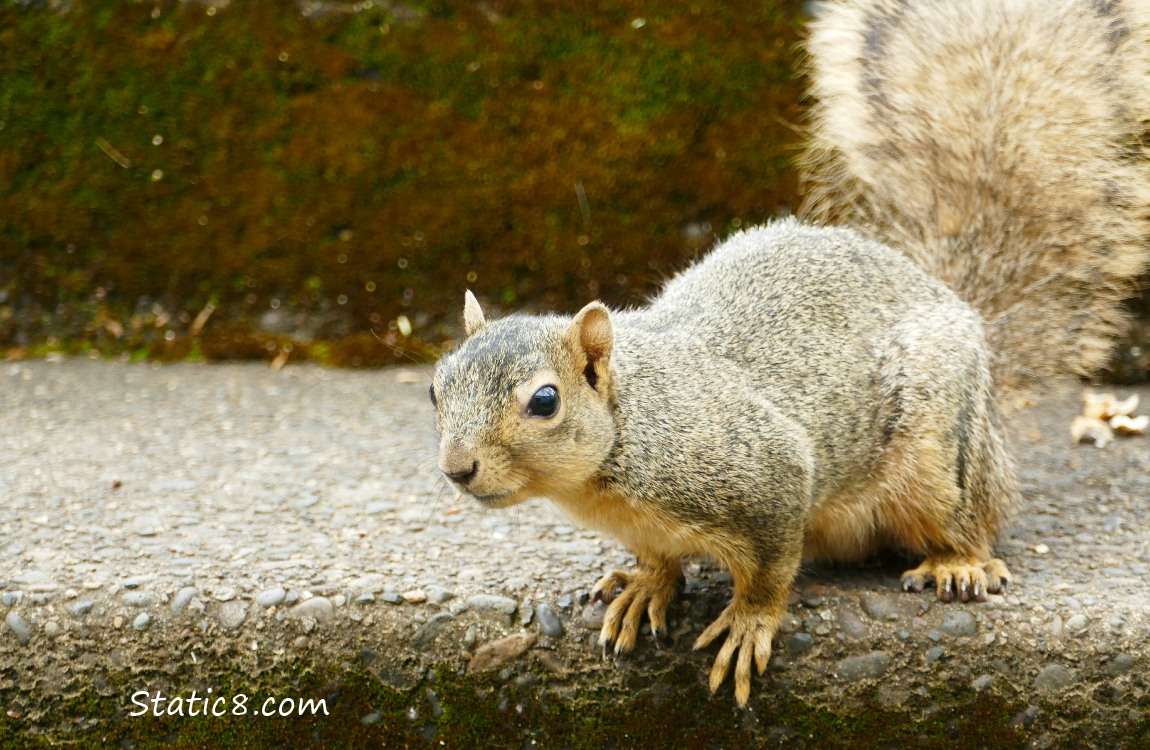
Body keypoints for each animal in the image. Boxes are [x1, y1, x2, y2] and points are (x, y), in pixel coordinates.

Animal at [425, 0, 1150, 708]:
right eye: (436, 388)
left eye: (544, 401)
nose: (458, 469)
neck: (625, 441)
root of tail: (961, 311)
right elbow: (659, 559)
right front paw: (645, 584)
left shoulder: (766, 474)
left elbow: (771, 569)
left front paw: (747, 623)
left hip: (941, 455)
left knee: (969, 520)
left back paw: (960, 564)